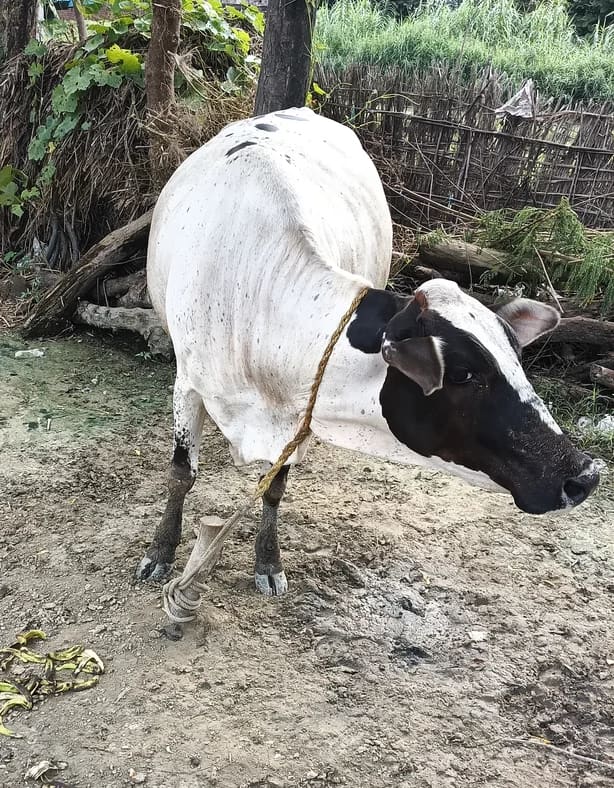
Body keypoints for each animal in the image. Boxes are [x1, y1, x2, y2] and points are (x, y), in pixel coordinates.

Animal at [137, 107, 599, 595]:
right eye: (462, 374)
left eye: (516, 358)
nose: (584, 475)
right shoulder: (188, 384)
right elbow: (182, 475)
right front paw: (160, 552)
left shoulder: (301, 413)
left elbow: (275, 485)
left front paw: (268, 561)